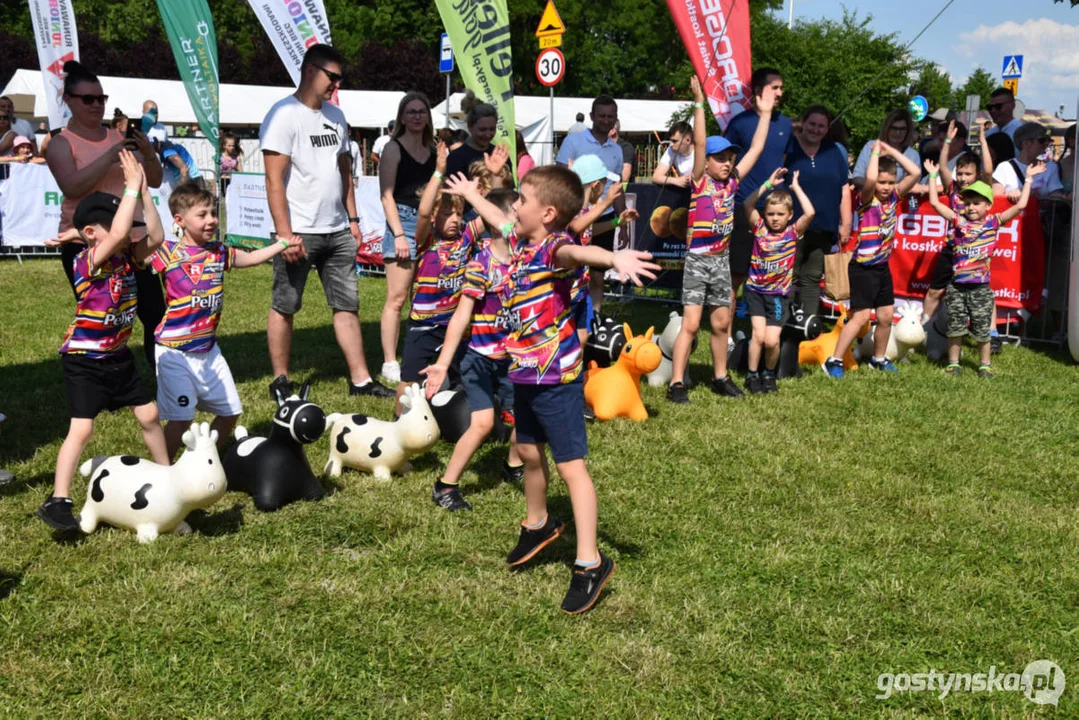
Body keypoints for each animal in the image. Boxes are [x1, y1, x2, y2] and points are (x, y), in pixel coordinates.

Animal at [78, 423, 227, 539]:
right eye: (210, 461)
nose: (222, 484)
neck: (176, 481)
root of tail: (103, 461)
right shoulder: (146, 521)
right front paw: (147, 539)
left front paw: (185, 530)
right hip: (93, 504)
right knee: (89, 514)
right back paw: (84, 527)